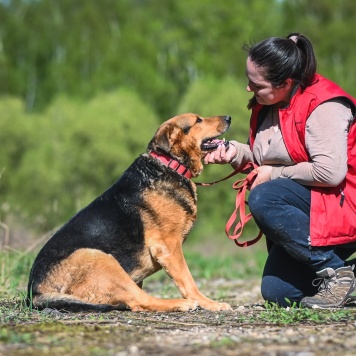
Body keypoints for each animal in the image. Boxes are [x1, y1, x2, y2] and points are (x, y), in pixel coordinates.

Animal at [28, 113, 234, 312]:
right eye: (198, 120)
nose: (229, 117)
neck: (169, 164)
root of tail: (35, 292)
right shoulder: (169, 247)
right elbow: (188, 281)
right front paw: (208, 303)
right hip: (99, 258)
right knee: (142, 300)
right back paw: (182, 304)